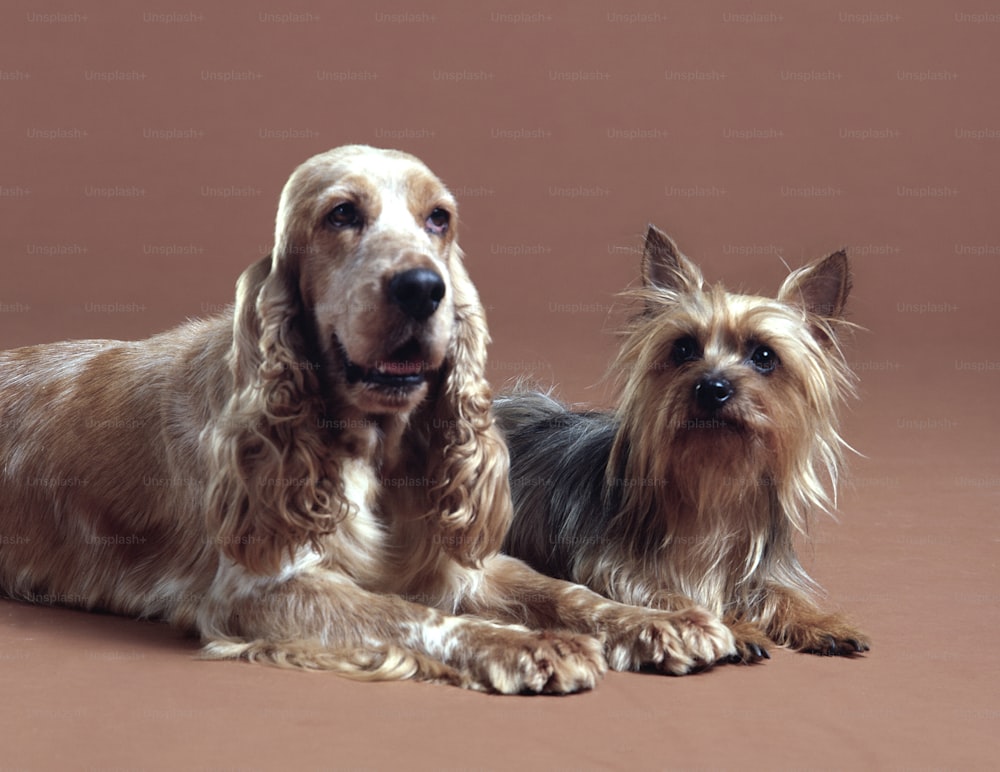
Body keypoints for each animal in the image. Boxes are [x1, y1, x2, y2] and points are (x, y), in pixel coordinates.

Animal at [498, 226, 868, 660]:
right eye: (684, 348)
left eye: (764, 356)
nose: (712, 387)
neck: (712, 477)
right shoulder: (612, 568)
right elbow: (671, 595)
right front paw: (731, 628)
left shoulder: (759, 568)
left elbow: (779, 591)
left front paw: (819, 622)